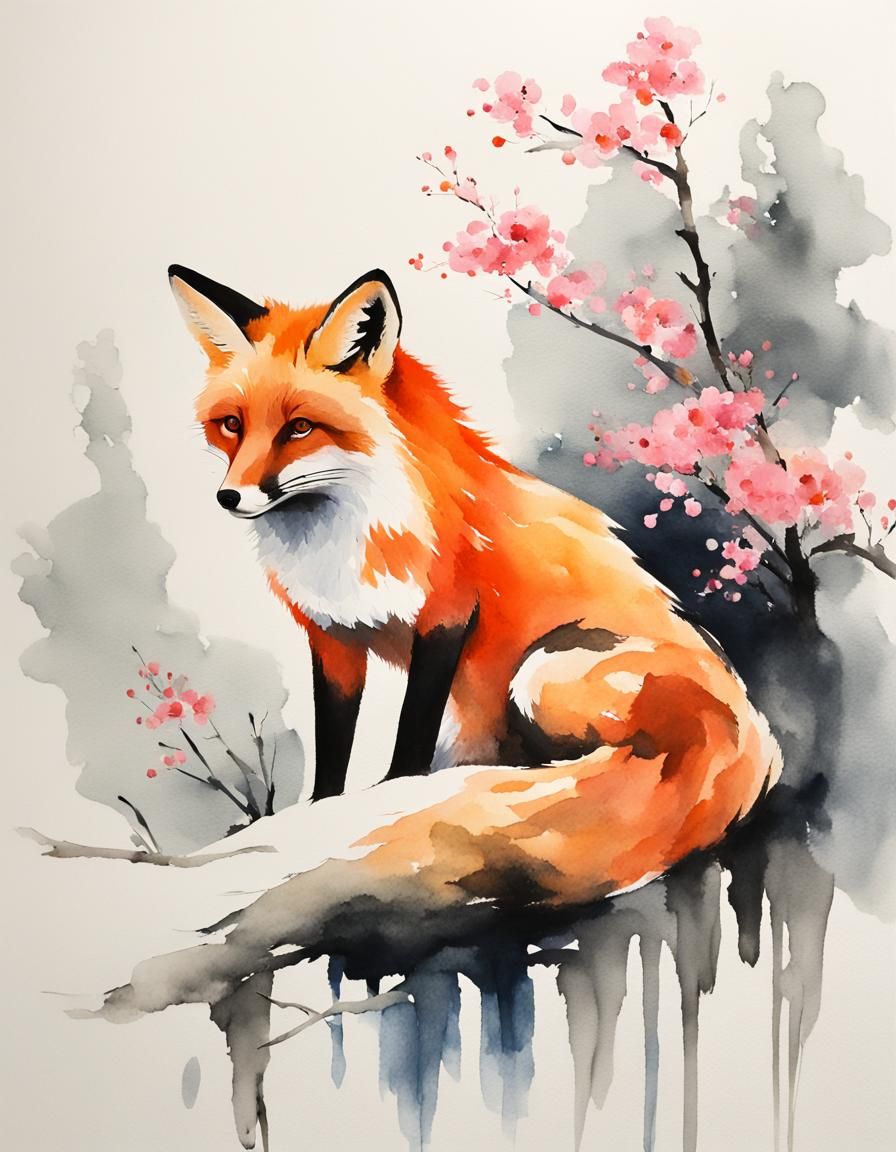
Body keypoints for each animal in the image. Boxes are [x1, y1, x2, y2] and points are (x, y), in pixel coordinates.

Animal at [169, 263, 781, 904]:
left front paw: (393, 792)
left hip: (541, 670)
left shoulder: (447, 615)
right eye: (232, 426)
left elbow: (411, 733)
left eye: (300, 428)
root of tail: (749, 734)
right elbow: (333, 750)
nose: (230, 497)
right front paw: (322, 810)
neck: (347, 540)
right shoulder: (331, 638)